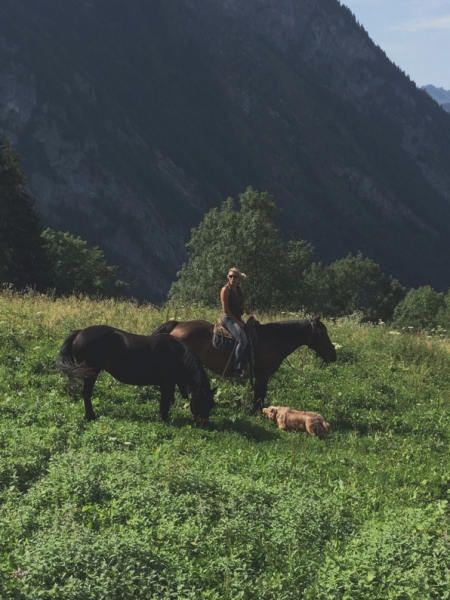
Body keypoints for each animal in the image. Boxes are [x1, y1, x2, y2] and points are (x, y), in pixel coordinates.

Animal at [55, 326, 217, 424]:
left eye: (211, 405)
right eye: (202, 403)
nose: (203, 424)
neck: (178, 353)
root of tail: (80, 332)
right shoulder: (167, 384)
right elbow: (164, 402)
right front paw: (164, 418)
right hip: (91, 373)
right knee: (86, 393)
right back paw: (91, 417)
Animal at [153, 316, 336, 410]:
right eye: (322, 334)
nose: (333, 355)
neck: (274, 339)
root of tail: (177, 324)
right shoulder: (263, 375)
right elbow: (260, 394)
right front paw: (258, 412)